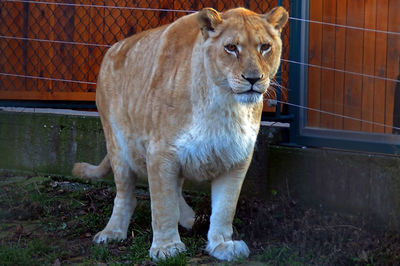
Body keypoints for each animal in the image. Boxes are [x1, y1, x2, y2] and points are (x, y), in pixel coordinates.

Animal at [73, 6, 288, 262]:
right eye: (231, 47)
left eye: (265, 47)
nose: (253, 79)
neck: (225, 104)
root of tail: (111, 49)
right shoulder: (161, 152)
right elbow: (162, 203)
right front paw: (166, 248)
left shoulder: (236, 158)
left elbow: (225, 207)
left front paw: (221, 244)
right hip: (117, 146)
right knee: (126, 194)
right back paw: (112, 232)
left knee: (174, 188)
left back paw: (189, 219)